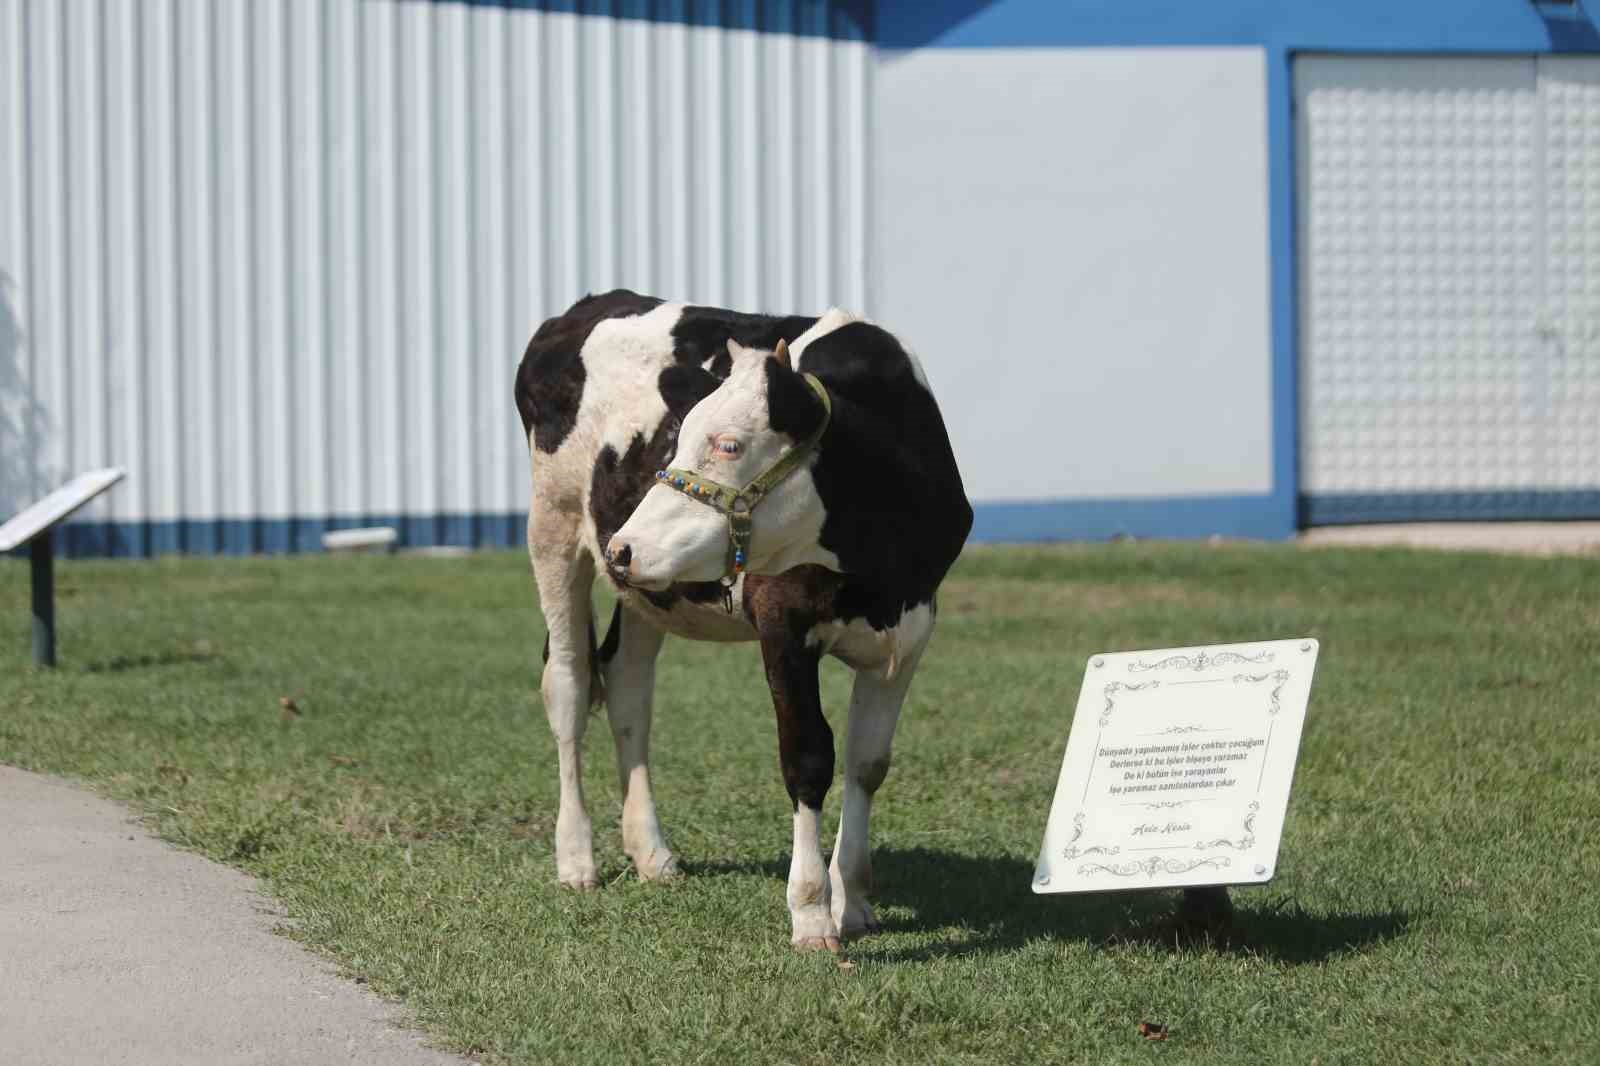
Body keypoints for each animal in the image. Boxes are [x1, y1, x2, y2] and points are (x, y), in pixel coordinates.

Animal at [518, 286, 966, 941]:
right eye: (679, 436)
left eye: (728, 443)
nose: (622, 547)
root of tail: (590, 304)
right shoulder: (782, 620)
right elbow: (808, 757)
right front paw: (811, 912)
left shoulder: (910, 633)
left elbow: (867, 763)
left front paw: (853, 899)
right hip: (553, 527)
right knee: (570, 683)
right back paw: (576, 859)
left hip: (646, 586)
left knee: (628, 686)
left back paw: (652, 853)